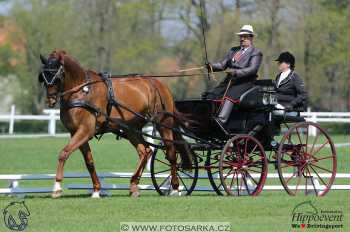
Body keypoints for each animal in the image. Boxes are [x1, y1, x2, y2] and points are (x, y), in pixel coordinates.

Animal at [38, 50, 193, 198]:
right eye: (43, 77)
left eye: (57, 76)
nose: (50, 100)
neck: (82, 91)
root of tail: (158, 83)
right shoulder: (76, 132)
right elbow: (89, 162)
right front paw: (96, 190)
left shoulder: (85, 130)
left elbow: (64, 153)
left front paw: (57, 188)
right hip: (132, 129)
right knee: (145, 151)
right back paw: (134, 186)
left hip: (163, 123)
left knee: (171, 153)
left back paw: (174, 188)